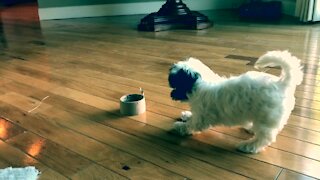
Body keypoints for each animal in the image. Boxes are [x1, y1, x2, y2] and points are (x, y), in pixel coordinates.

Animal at [169, 50, 304, 153]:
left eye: (175, 81)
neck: (199, 84)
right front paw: (187, 115)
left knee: (264, 137)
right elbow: (192, 117)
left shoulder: (202, 117)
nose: (171, 94)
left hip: (266, 118)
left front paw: (180, 126)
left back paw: (248, 146)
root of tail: (282, 83)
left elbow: (192, 124)